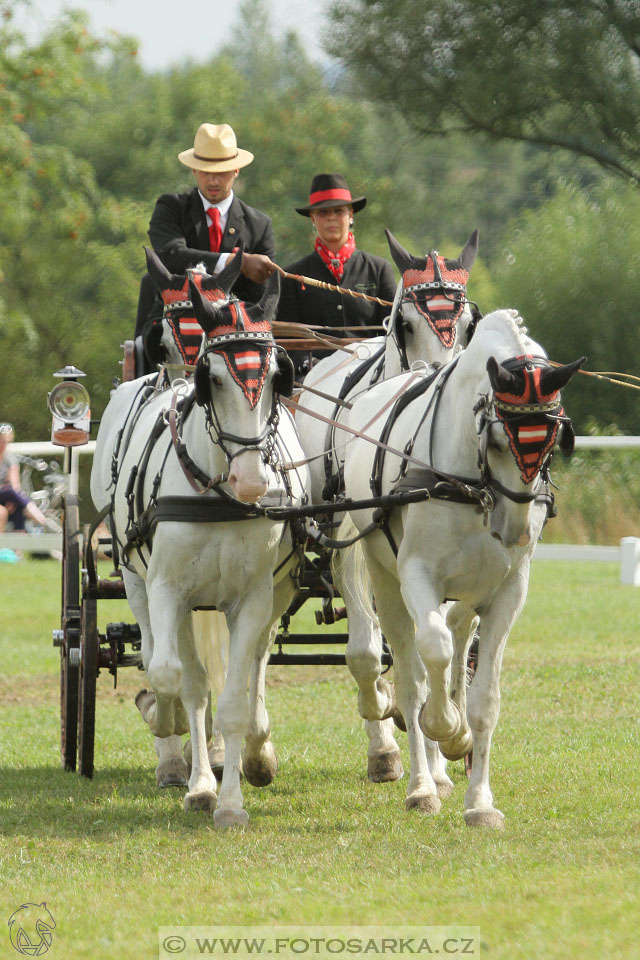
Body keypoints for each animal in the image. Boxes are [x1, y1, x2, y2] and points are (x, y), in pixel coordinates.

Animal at [91, 264, 308, 824]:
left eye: (277, 377)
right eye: (214, 380)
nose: (253, 481)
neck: (217, 493)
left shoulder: (252, 598)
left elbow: (231, 699)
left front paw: (230, 801)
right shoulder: (171, 591)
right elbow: (174, 677)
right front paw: (190, 767)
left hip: (275, 590)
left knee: (252, 664)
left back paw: (249, 751)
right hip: (136, 578)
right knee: (160, 656)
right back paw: (179, 755)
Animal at [292, 231, 478, 780]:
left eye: (468, 324)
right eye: (405, 324)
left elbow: (437, 640)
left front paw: (439, 753)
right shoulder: (352, 545)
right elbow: (365, 653)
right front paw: (387, 733)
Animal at [338, 310, 584, 824]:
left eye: (553, 440)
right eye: (497, 438)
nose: (516, 531)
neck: (471, 486)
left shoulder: (509, 590)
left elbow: (483, 696)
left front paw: (480, 801)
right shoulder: (417, 575)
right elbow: (430, 657)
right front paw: (446, 729)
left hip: (471, 589)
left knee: (456, 635)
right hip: (385, 578)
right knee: (410, 672)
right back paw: (422, 783)